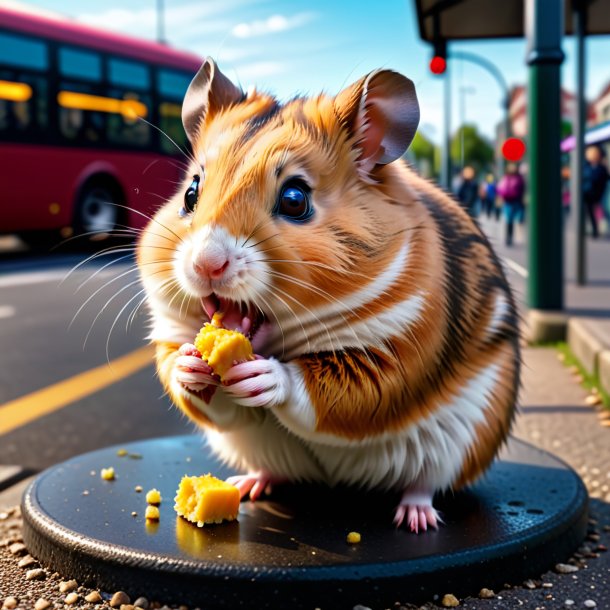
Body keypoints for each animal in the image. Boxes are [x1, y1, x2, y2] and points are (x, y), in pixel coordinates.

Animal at [137, 58, 516, 532]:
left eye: (295, 199)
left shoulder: (399, 348)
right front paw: (191, 365)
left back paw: (416, 517)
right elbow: (189, 382)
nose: (206, 264)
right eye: (190, 193)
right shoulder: (170, 331)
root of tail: (338, 481)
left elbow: (333, 390)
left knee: (427, 481)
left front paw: (265, 375)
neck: (284, 337)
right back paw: (250, 484)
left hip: (462, 442)